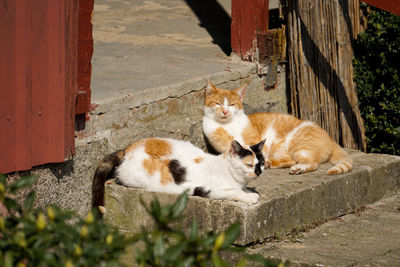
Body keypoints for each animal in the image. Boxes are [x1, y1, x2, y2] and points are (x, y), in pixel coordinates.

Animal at [92, 138, 268, 209]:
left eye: (262, 163)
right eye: (249, 165)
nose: (258, 171)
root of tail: (127, 149)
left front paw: (249, 190)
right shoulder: (208, 189)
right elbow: (233, 192)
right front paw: (250, 196)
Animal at [203, 80, 354, 177]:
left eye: (232, 104)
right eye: (218, 103)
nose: (225, 111)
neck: (227, 125)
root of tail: (331, 138)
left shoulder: (256, 142)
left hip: (299, 146)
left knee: (311, 163)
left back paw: (297, 169)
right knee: (290, 160)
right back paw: (271, 163)